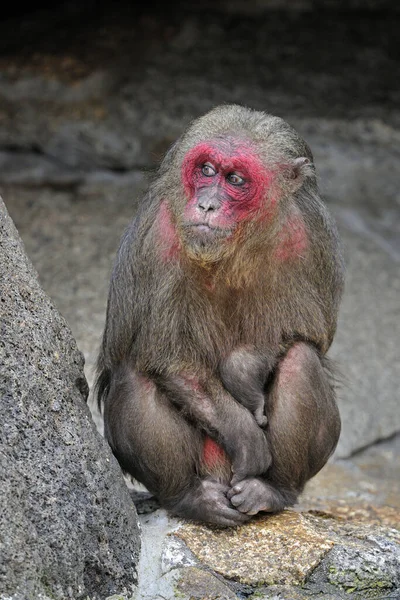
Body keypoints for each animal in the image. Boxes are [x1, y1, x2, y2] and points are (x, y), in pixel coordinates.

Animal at [97, 105, 344, 528]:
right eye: (207, 170)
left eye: (235, 180)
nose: (207, 204)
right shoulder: (158, 234)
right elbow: (166, 356)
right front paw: (244, 434)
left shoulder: (311, 232)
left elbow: (309, 331)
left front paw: (242, 371)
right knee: (134, 373)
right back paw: (188, 497)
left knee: (300, 360)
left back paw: (273, 491)